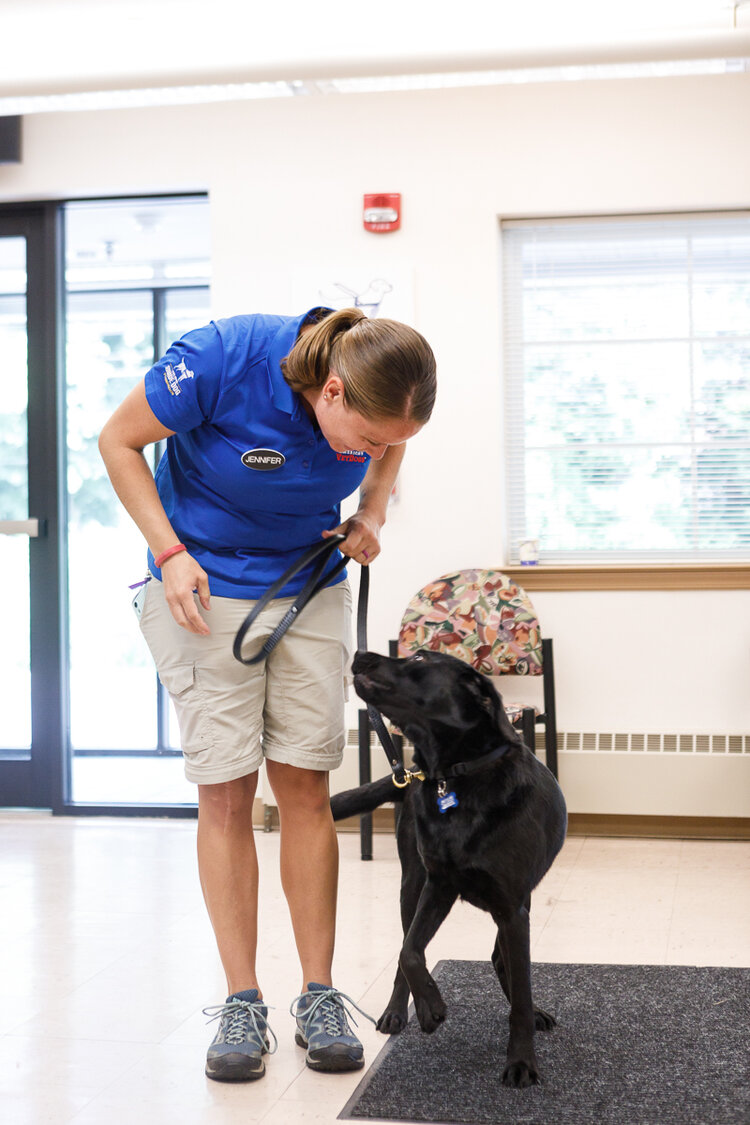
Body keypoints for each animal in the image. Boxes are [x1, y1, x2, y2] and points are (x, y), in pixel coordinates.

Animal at [330, 652, 566, 1089]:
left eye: (421, 658)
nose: (360, 655)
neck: (454, 775)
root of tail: (407, 777)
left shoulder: (511, 906)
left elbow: (521, 992)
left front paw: (522, 1060)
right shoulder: (437, 885)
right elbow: (409, 951)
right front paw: (431, 1007)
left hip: (516, 901)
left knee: (502, 960)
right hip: (410, 883)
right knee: (406, 946)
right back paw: (397, 1012)